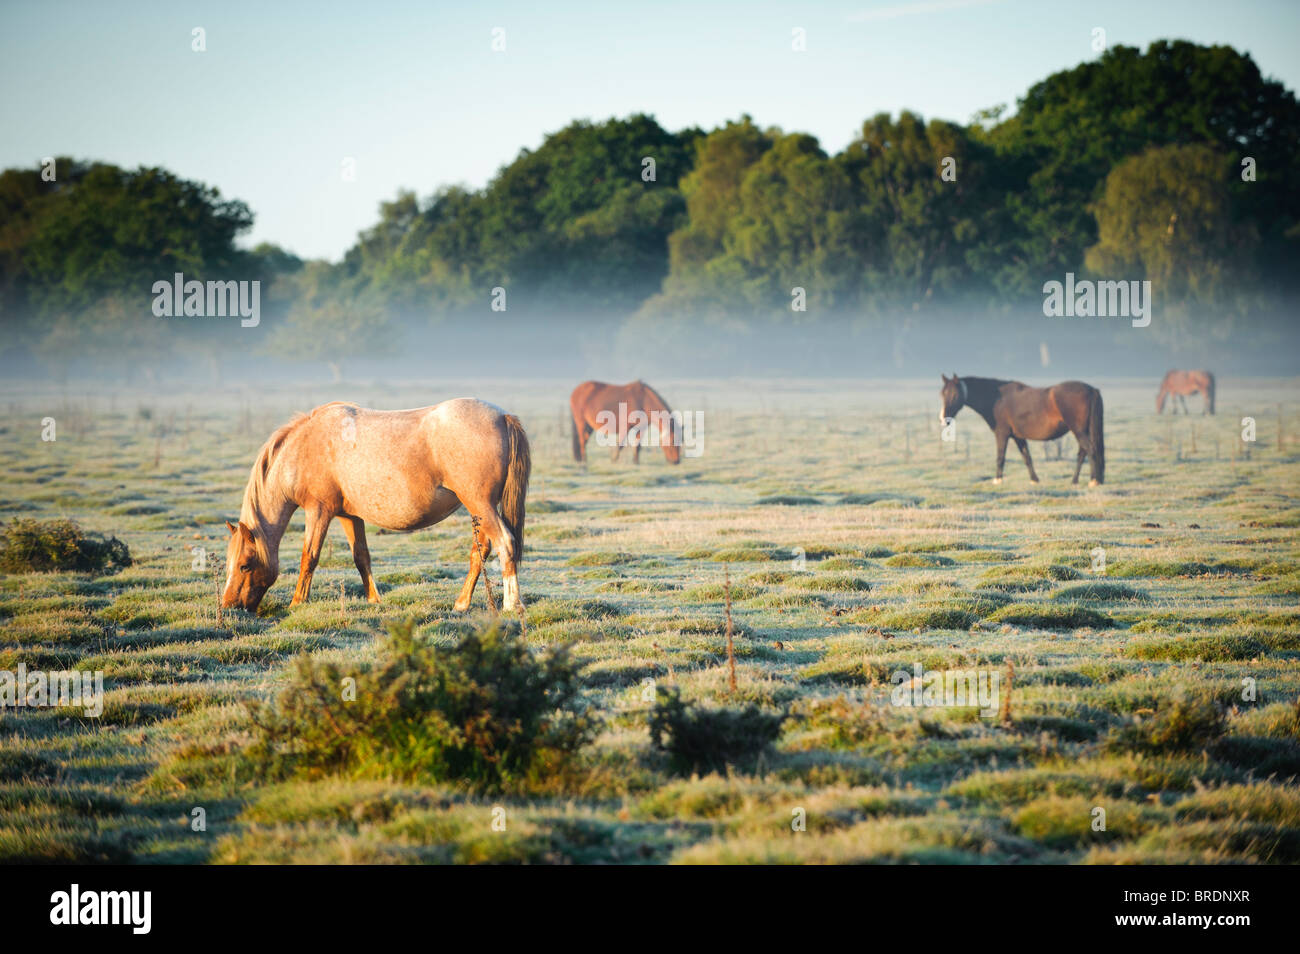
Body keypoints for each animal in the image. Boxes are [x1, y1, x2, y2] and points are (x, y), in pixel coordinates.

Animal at [222, 402, 527, 613]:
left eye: (244, 565)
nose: (228, 605)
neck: (304, 447)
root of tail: (502, 417)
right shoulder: (349, 516)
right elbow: (361, 556)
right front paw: (374, 599)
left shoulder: (318, 511)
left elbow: (309, 557)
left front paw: (297, 602)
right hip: (480, 510)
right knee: (481, 550)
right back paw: (462, 603)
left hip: (479, 504)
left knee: (505, 543)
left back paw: (512, 605)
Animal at [935, 374, 1107, 486]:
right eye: (942, 394)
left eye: (954, 394)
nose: (944, 419)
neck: (996, 399)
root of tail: (1092, 390)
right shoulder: (1018, 437)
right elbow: (1026, 457)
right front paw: (1034, 480)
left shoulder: (1002, 434)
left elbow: (1000, 457)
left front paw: (997, 480)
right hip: (1083, 430)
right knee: (1083, 453)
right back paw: (1075, 480)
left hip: (1078, 430)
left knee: (1090, 450)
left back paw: (1093, 480)